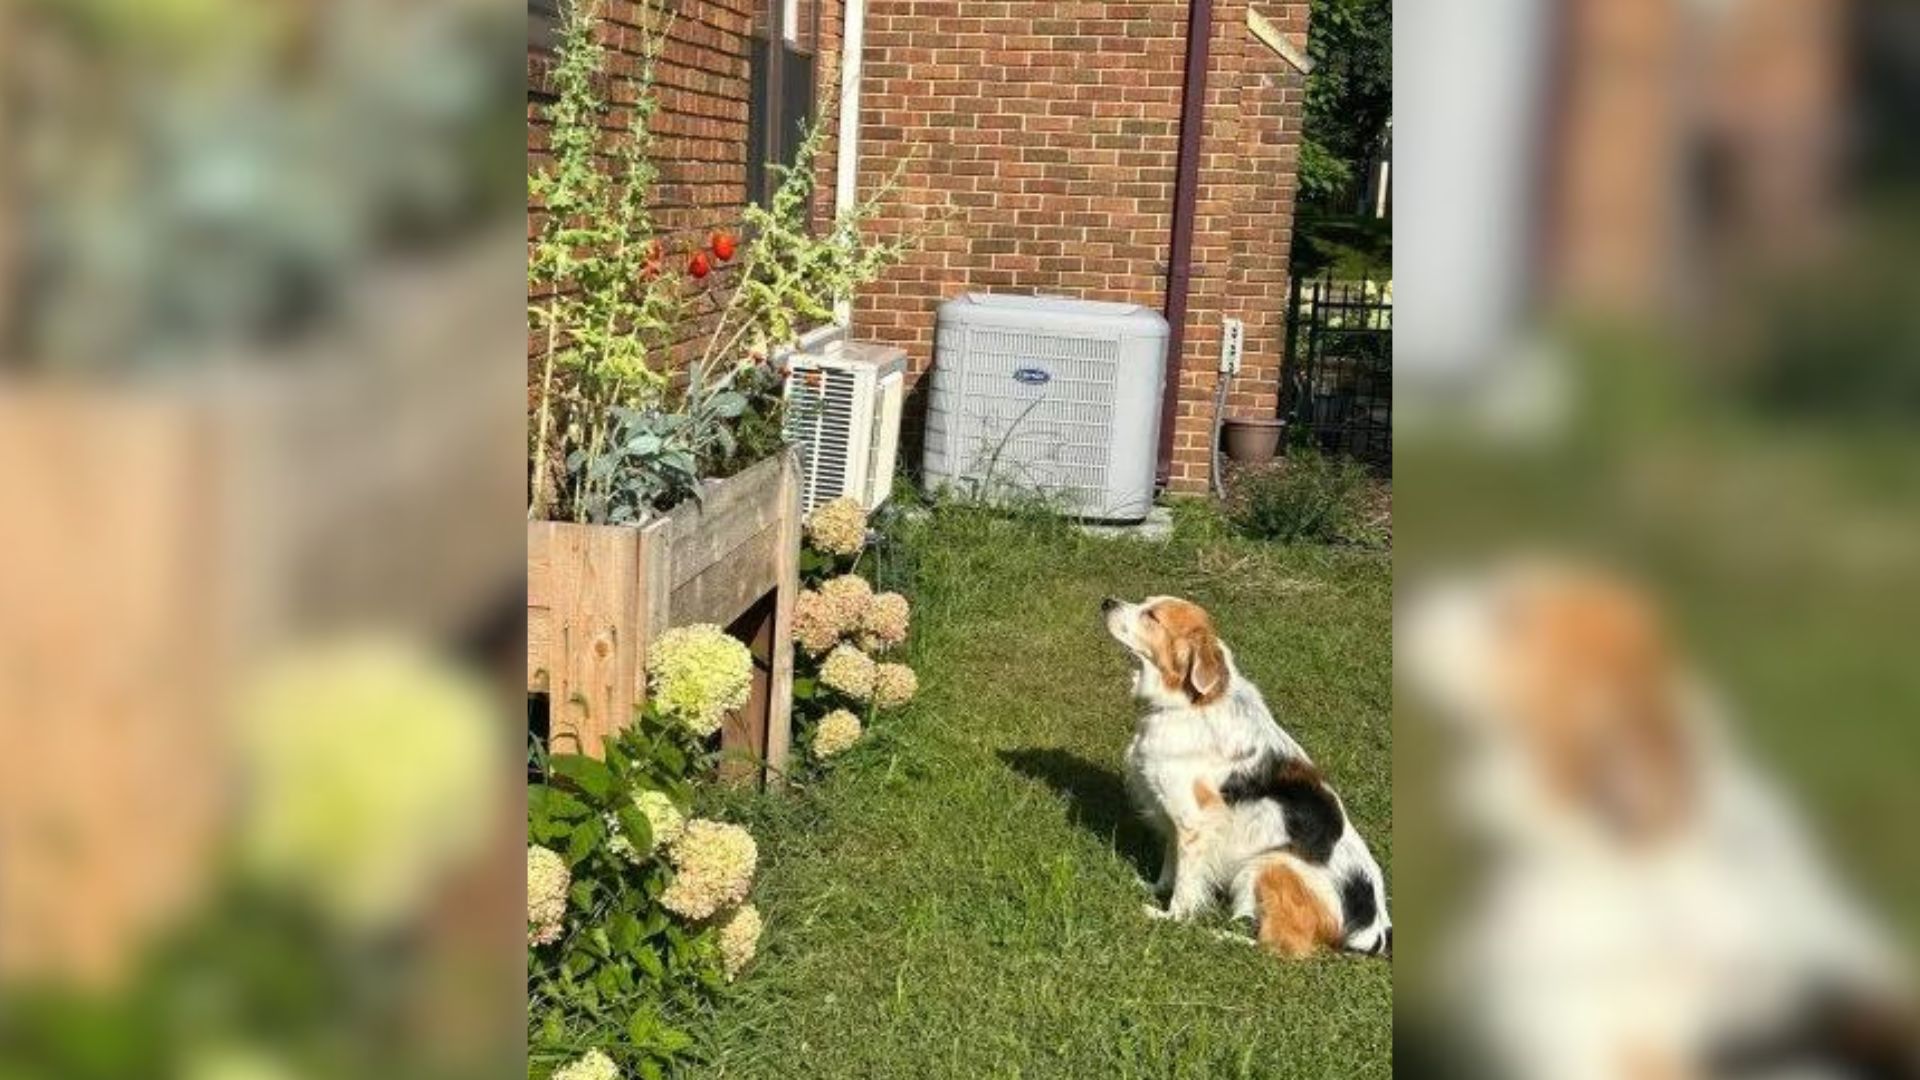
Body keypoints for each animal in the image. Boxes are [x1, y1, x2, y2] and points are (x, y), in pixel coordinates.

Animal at [1098, 591, 1397, 953]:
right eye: (1145, 602)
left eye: (1152, 616)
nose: (1107, 601)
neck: (1188, 704)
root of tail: (1377, 930)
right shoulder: (1172, 817)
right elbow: (1171, 866)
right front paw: (1155, 889)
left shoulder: (1193, 824)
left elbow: (1185, 885)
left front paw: (1170, 917)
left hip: (1269, 864)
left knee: (1279, 945)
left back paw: (1217, 935)